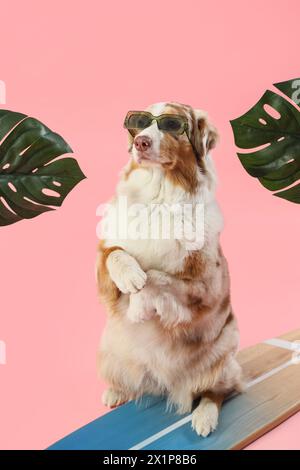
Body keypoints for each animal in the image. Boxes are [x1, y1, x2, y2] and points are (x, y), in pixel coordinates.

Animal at [97, 101, 243, 436]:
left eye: (172, 125)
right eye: (139, 124)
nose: (140, 142)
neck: (158, 195)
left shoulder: (202, 286)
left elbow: (155, 275)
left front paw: (138, 304)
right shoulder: (103, 259)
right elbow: (115, 253)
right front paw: (129, 276)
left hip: (223, 354)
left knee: (218, 391)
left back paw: (204, 417)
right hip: (110, 347)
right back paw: (116, 391)